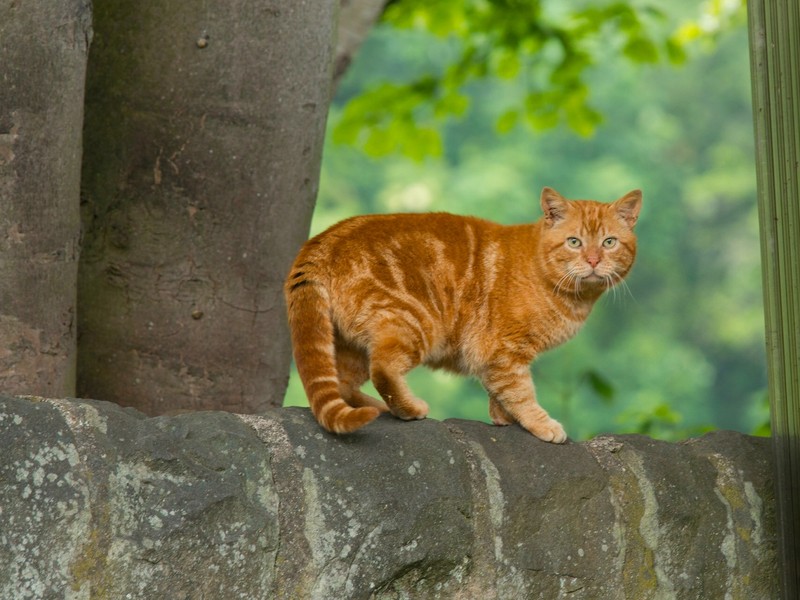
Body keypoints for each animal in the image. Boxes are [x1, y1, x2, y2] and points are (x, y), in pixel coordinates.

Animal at [284, 189, 640, 446]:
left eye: (609, 242)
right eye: (574, 242)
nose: (593, 260)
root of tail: (322, 241)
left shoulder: (495, 356)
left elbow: (499, 390)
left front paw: (503, 417)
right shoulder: (505, 350)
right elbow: (520, 392)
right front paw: (541, 423)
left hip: (350, 345)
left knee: (343, 383)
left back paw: (376, 407)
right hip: (414, 323)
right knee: (383, 370)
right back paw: (409, 408)